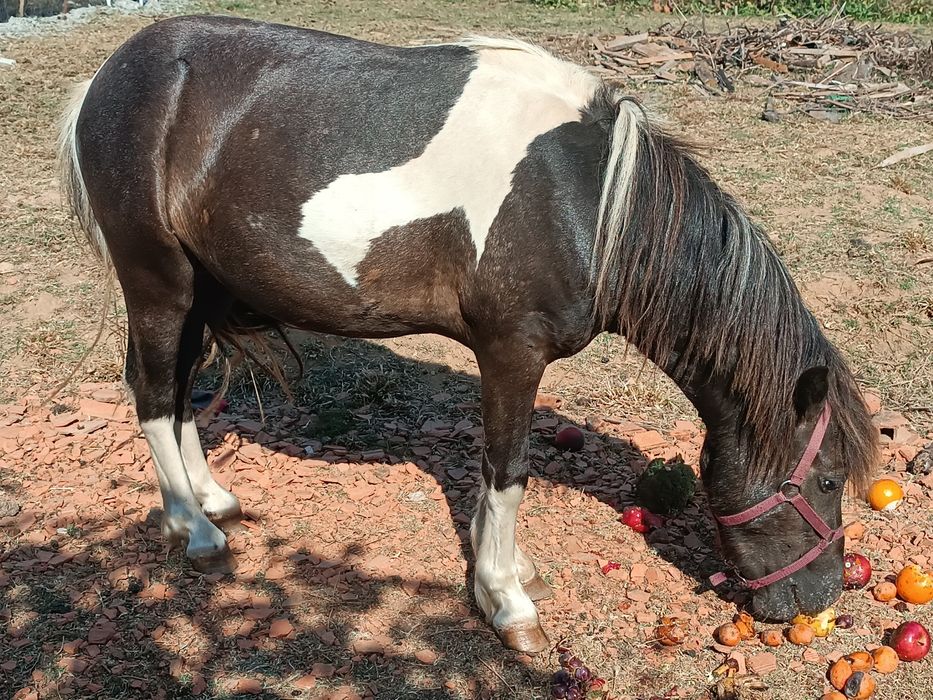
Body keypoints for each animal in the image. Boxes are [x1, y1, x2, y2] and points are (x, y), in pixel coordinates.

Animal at [58, 15, 878, 654]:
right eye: (827, 480)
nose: (820, 598)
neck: (592, 203)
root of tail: (110, 74)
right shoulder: (513, 351)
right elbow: (508, 471)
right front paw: (505, 602)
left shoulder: (505, 358)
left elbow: (491, 475)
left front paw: (503, 567)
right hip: (158, 284)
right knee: (153, 396)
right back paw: (192, 531)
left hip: (199, 289)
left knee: (177, 389)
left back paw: (211, 498)